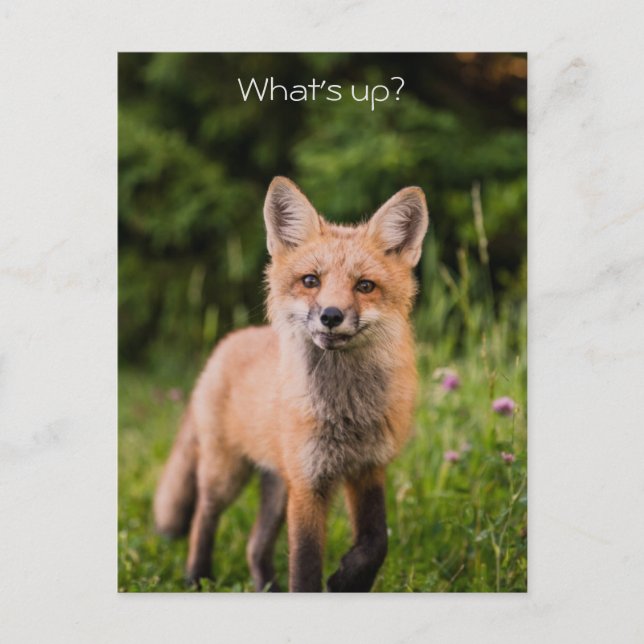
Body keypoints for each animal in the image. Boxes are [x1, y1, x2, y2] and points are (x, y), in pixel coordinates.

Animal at [153, 176, 429, 592]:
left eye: (365, 286)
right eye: (311, 281)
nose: (331, 315)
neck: (345, 413)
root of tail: (227, 344)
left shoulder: (367, 468)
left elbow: (376, 542)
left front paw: (348, 580)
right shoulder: (308, 482)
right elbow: (305, 564)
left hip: (277, 485)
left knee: (253, 545)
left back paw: (264, 586)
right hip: (226, 473)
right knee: (204, 516)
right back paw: (196, 576)